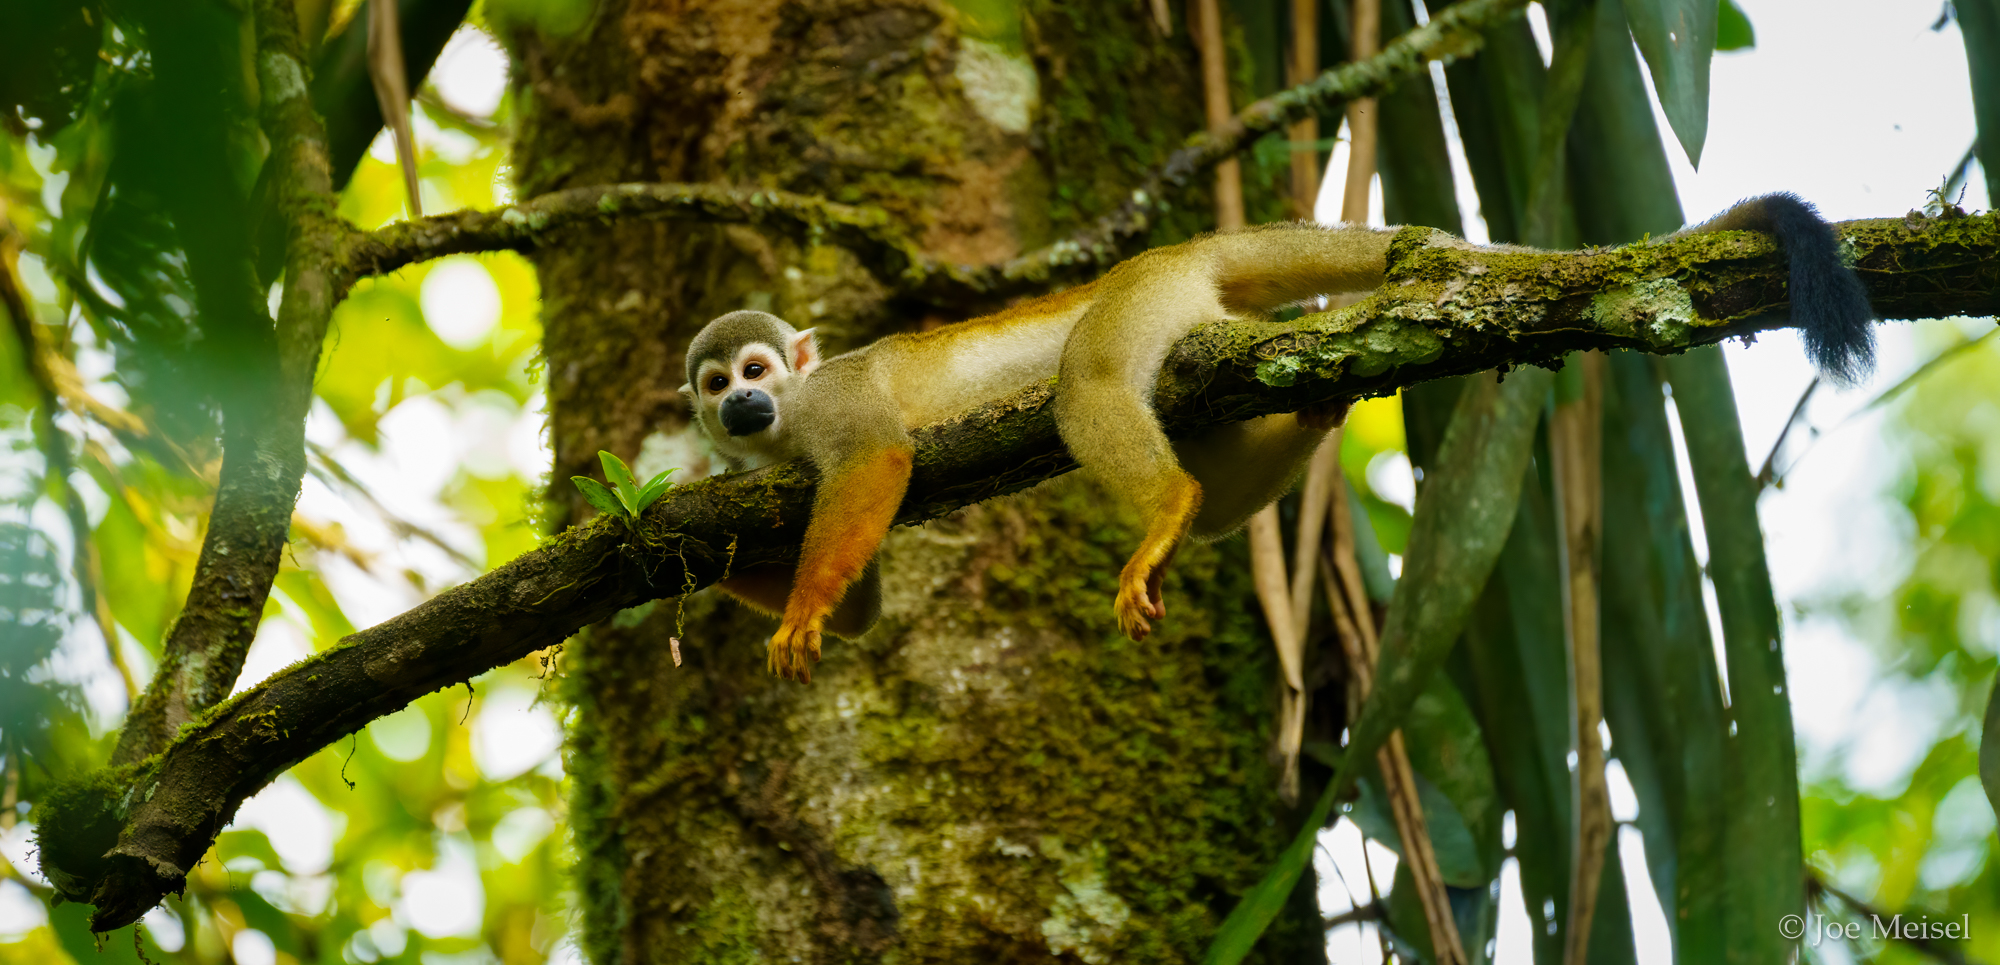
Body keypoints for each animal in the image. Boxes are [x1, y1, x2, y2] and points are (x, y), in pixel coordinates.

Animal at [680, 192, 1874, 682]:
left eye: (756, 374)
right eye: (712, 386)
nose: (737, 408)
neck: (789, 428)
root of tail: (1177, 249)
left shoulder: (834, 409)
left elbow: (878, 459)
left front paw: (799, 606)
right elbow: (869, 606)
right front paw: (696, 550)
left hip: (1140, 305)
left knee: (1089, 387)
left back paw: (1161, 508)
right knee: (1207, 453)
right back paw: (1296, 420)